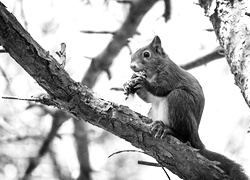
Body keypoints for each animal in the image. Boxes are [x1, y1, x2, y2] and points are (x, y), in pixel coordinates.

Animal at [123, 35, 248, 179]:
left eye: (146, 54)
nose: (132, 66)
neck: (154, 71)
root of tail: (197, 140)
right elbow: (148, 98)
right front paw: (129, 84)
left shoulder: (170, 75)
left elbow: (160, 89)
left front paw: (143, 82)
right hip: (154, 111)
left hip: (179, 100)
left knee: (184, 137)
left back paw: (166, 129)